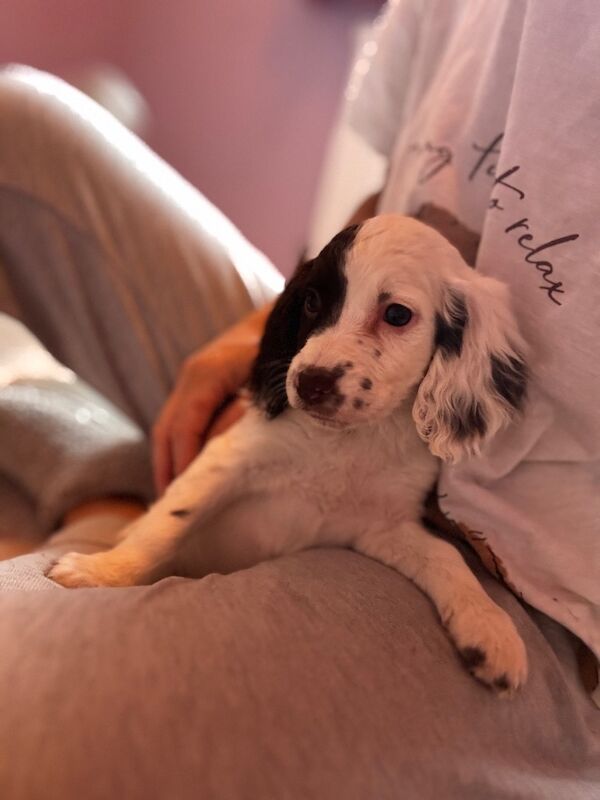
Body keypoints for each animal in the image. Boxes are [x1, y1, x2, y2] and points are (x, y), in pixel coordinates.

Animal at [51, 214, 528, 692]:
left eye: (396, 315)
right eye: (312, 301)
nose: (310, 382)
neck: (349, 442)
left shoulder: (380, 525)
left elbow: (447, 556)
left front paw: (489, 626)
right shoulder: (231, 458)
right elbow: (166, 524)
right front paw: (103, 572)